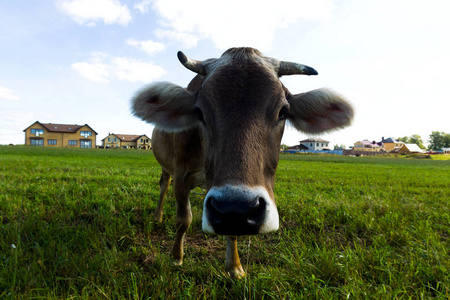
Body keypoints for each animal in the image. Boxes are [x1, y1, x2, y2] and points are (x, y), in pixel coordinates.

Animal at [131, 47, 356, 278]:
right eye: (199, 112)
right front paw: (176, 257)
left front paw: (234, 267)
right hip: (166, 167)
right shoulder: (181, 175)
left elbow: (232, 230)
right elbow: (183, 219)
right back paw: (157, 216)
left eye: (283, 111)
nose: (237, 207)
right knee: (163, 186)